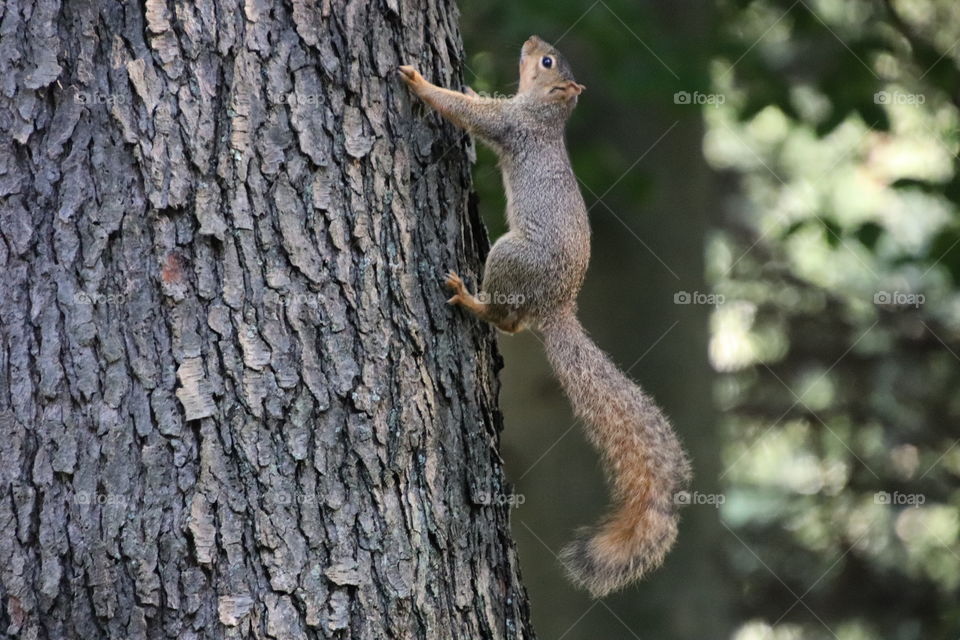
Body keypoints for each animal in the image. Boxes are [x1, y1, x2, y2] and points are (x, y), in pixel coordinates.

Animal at [398, 36, 688, 600]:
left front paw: (423, 83)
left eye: (547, 63)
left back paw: (469, 298)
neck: (545, 115)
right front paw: (466, 85)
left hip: (510, 256)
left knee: (507, 319)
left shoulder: (512, 125)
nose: (533, 41)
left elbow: (471, 115)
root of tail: (557, 307)